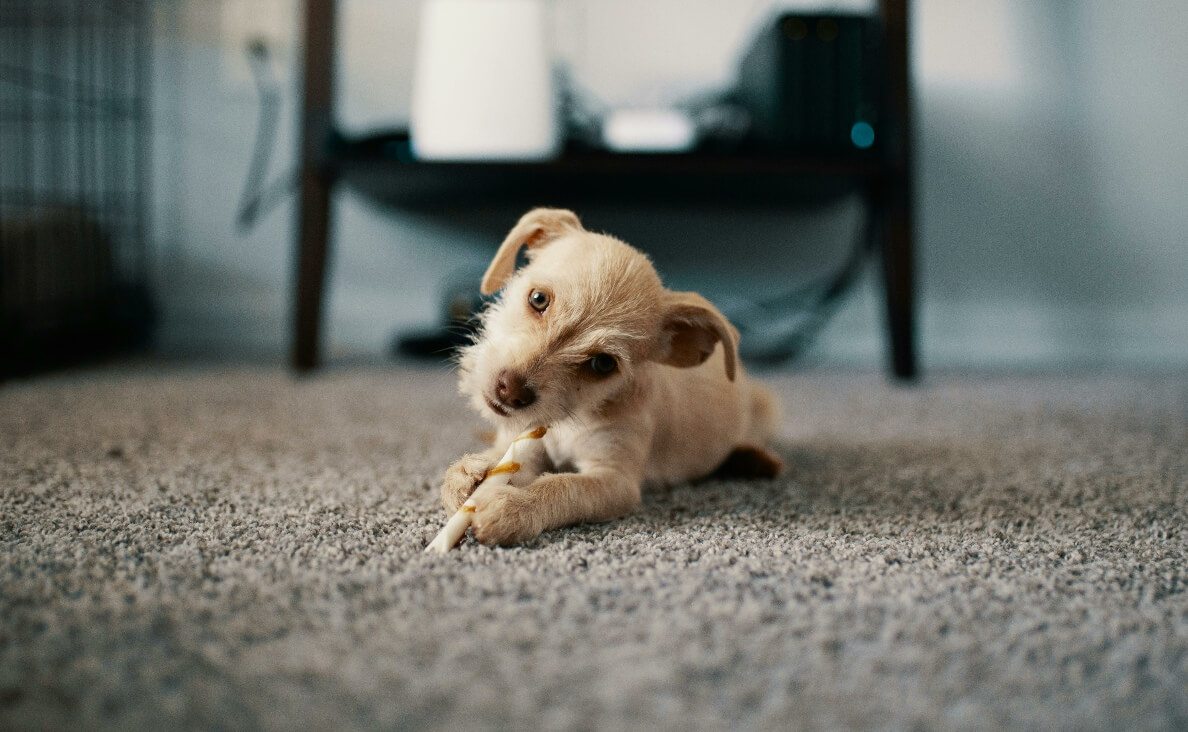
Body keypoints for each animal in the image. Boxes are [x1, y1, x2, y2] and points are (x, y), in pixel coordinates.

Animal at [444, 205, 779, 544]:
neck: (571, 419)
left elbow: (564, 487)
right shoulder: (524, 444)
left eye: (603, 364)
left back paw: (754, 458)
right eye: (538, 299)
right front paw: (468, 474)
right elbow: (503, 460)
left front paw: (513, 506)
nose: (510, 392)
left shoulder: (615, 480)